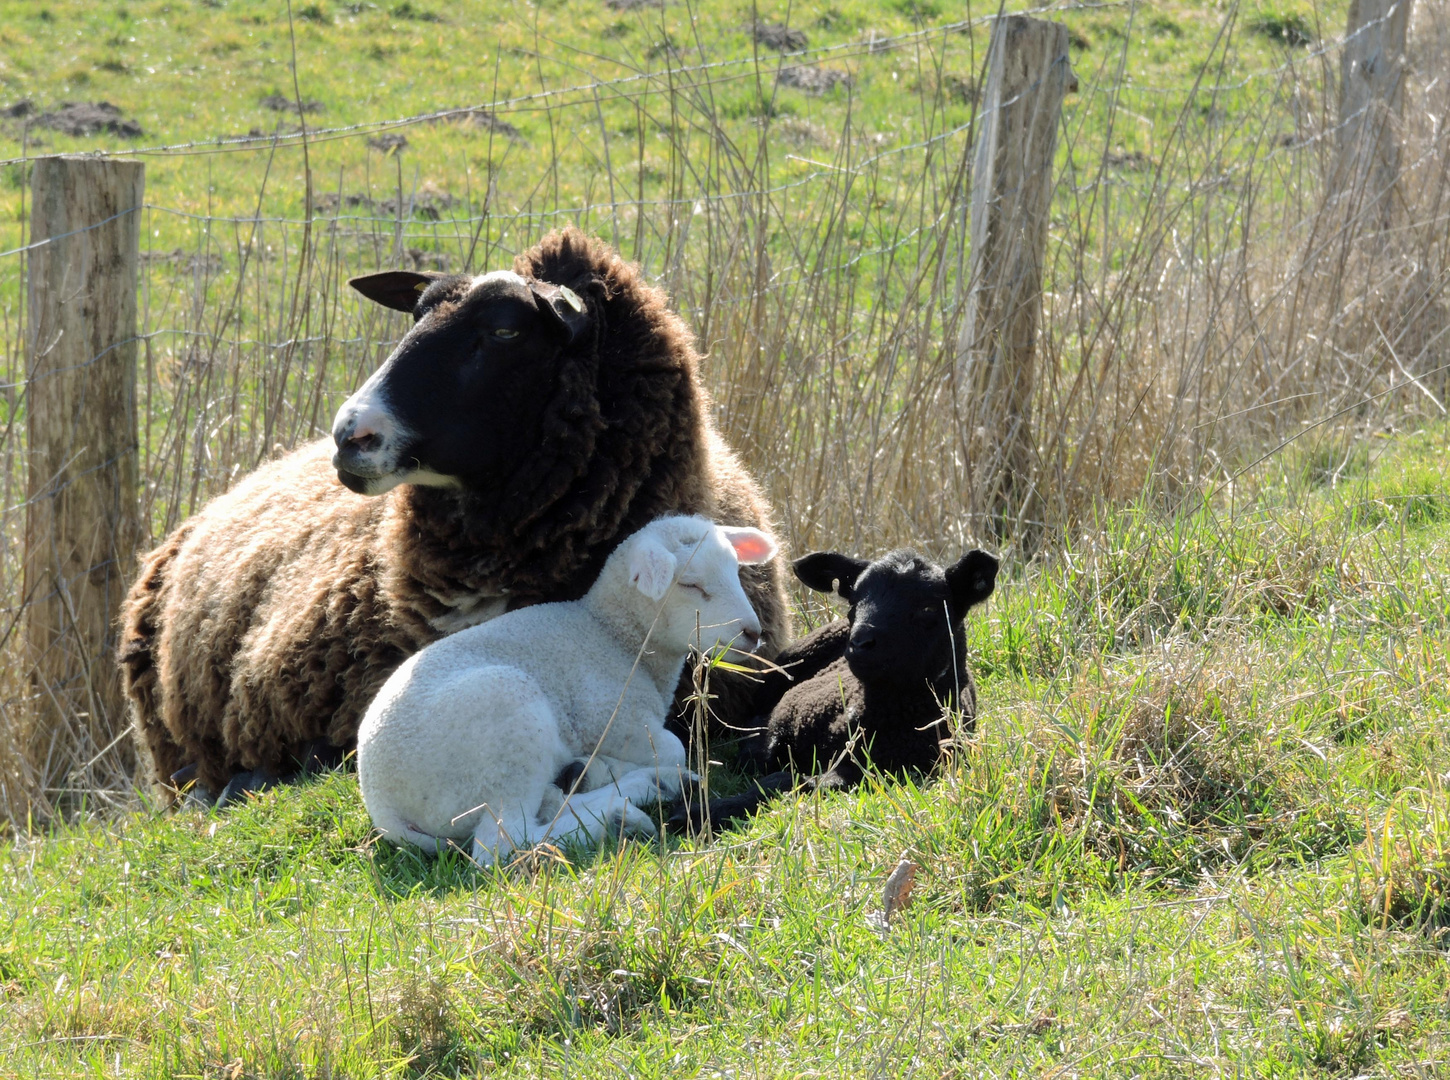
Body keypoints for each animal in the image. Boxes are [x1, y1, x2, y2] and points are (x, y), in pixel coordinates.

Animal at [355, 518, 777, 864]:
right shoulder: (610, 717)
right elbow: (673, 747)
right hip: (505, 733)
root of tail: (384, 806)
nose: (752, 632)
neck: (613, 634)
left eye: (735, 570)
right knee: (503, 843)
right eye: (690, 584)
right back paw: (620, 812)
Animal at [667, 542, 997, 829]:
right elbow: (763, 762)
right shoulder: (782, 724)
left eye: (928, 609)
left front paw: (698, 814)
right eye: (855, 601)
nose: (859, 642)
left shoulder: (873, 771)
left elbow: (789, 781)